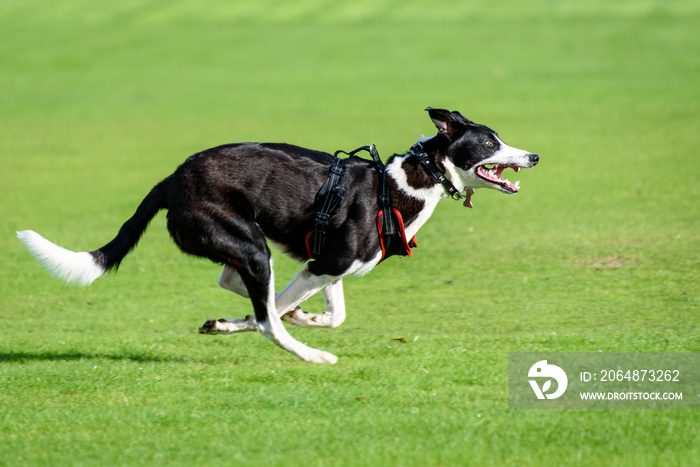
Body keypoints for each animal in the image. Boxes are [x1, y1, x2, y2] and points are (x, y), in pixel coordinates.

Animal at [17, 109, 540, 366]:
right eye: (490, 142)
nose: (533, 156)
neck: (405, 182)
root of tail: (172, 180)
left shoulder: (327, 266)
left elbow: (331, 313)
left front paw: (303, 317)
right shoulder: (324, 264)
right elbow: (273, 313)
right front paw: (290, 323)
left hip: (246, 246)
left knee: (238, 285)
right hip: (251, 246)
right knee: (267, 319)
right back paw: (313, 355)